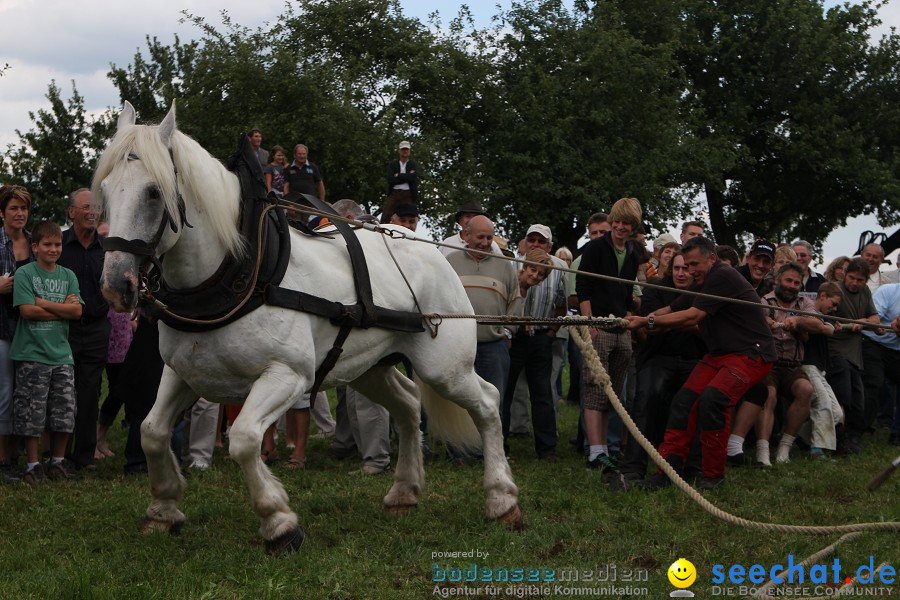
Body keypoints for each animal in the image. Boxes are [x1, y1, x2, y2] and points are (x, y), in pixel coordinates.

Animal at [93, 102, 520, 552]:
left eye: (153, 192)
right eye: (104, 191)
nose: (115, 286)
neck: (242, 273)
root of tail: (435, 252)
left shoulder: (289, 375)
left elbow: (244, 439)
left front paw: (279, 522)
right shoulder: (183, 374)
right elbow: (151, 431)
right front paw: (163, 510)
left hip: (445, 367)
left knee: (487, 402)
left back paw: (502, 499)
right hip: (368, 366)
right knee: (406, 404)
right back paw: (404, 493)